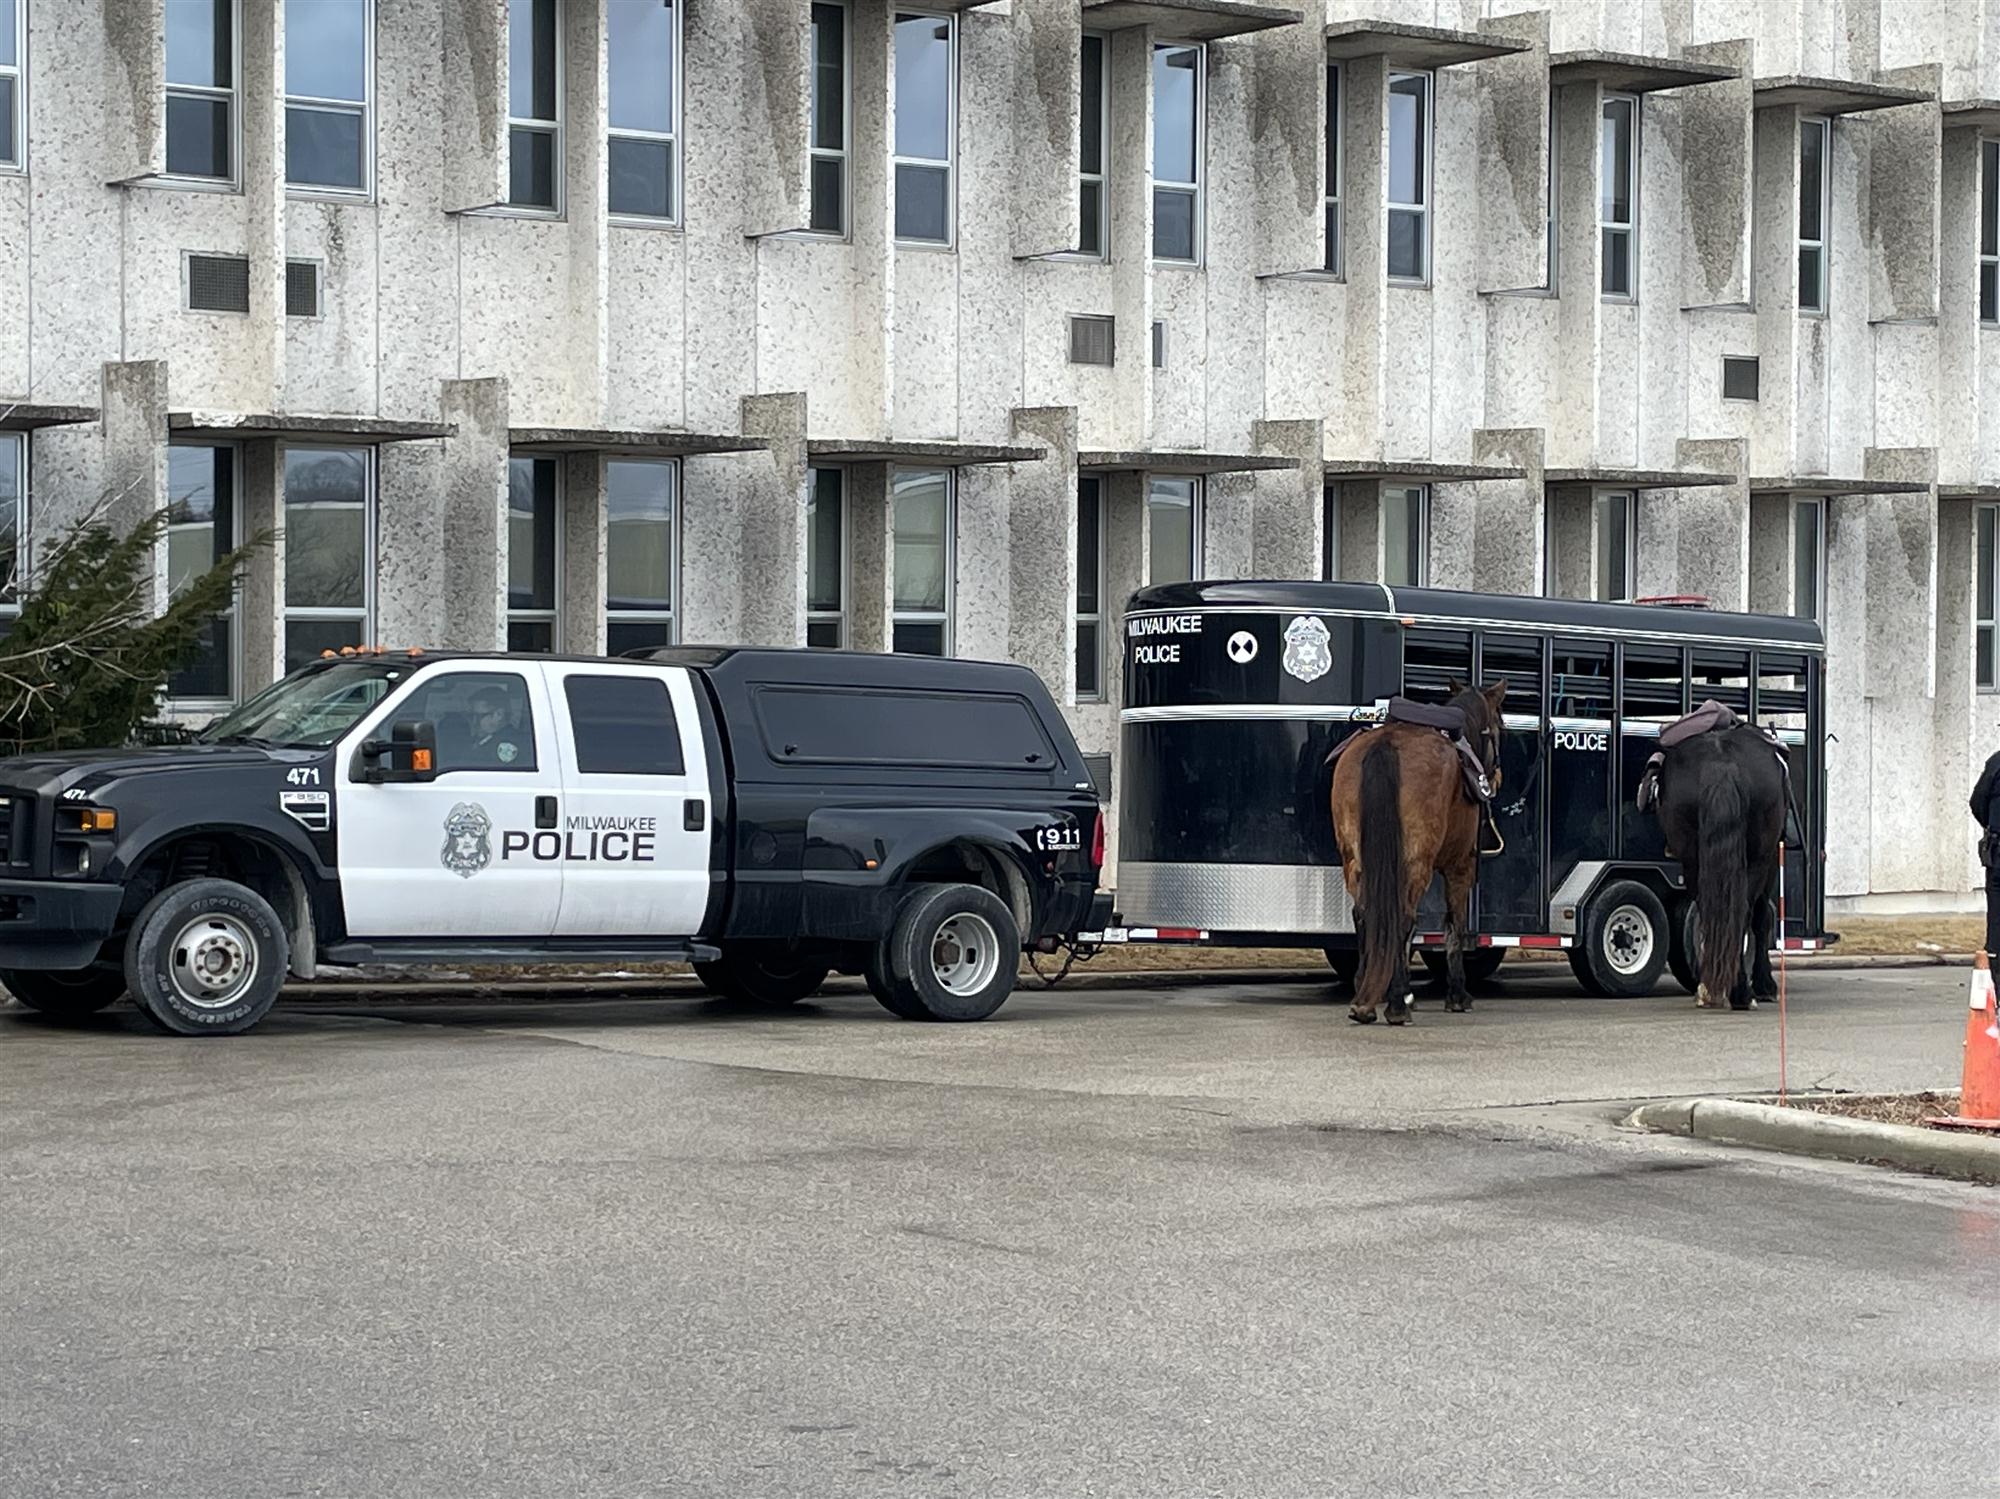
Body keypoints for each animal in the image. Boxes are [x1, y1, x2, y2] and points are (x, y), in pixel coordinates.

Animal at [1328, 683, 1504, 1031]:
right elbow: (1453, 926)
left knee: (1364, 913)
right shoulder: (1460, 868)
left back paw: (1364, 998)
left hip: (1354, 860)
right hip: (1417, 862)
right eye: (1498, 728)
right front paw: (1457, 996)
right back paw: (1396, 1005)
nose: (1496, 778)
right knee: (1402, 916)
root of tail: (1386, 744)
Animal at [1656, 727, 1800, 1011]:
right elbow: (1762, 917)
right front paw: (1765, 986)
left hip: (1693, 859)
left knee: (1710, 910)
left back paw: (1710, 989)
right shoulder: (1769, 861)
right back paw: (1740, 992)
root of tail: (1721, 764)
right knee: (1742, 913)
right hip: (1757, 858)